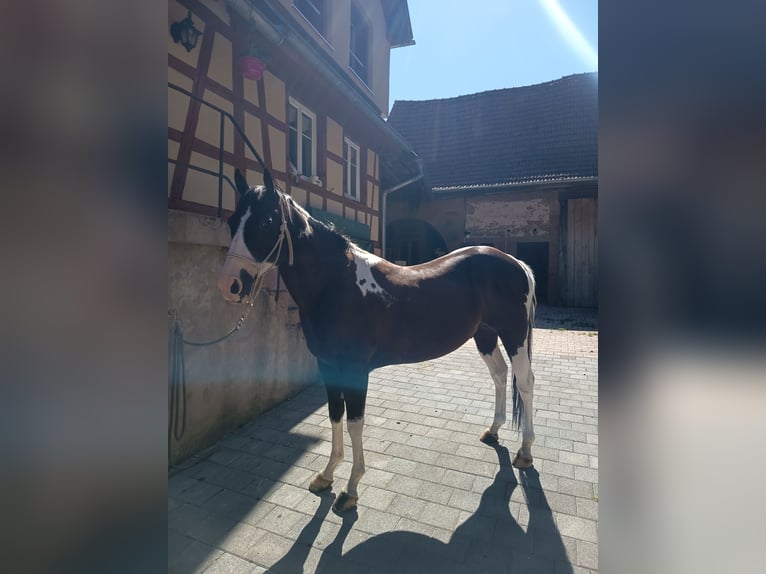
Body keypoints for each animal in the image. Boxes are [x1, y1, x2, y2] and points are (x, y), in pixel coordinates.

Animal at [217, 168, 537, 513]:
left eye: (266, 222)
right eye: (232, 220)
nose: (230, 284)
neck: (337, 283)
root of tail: (517, 264)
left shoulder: (356, 370)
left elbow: (355, 423)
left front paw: (350, 489)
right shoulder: (329, 367)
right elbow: (335, 416)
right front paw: (326, 475)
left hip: (514, 335)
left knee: (525, 382)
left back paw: (525, 452)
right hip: (485, 334)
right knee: (500, 374)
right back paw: (493, 431)